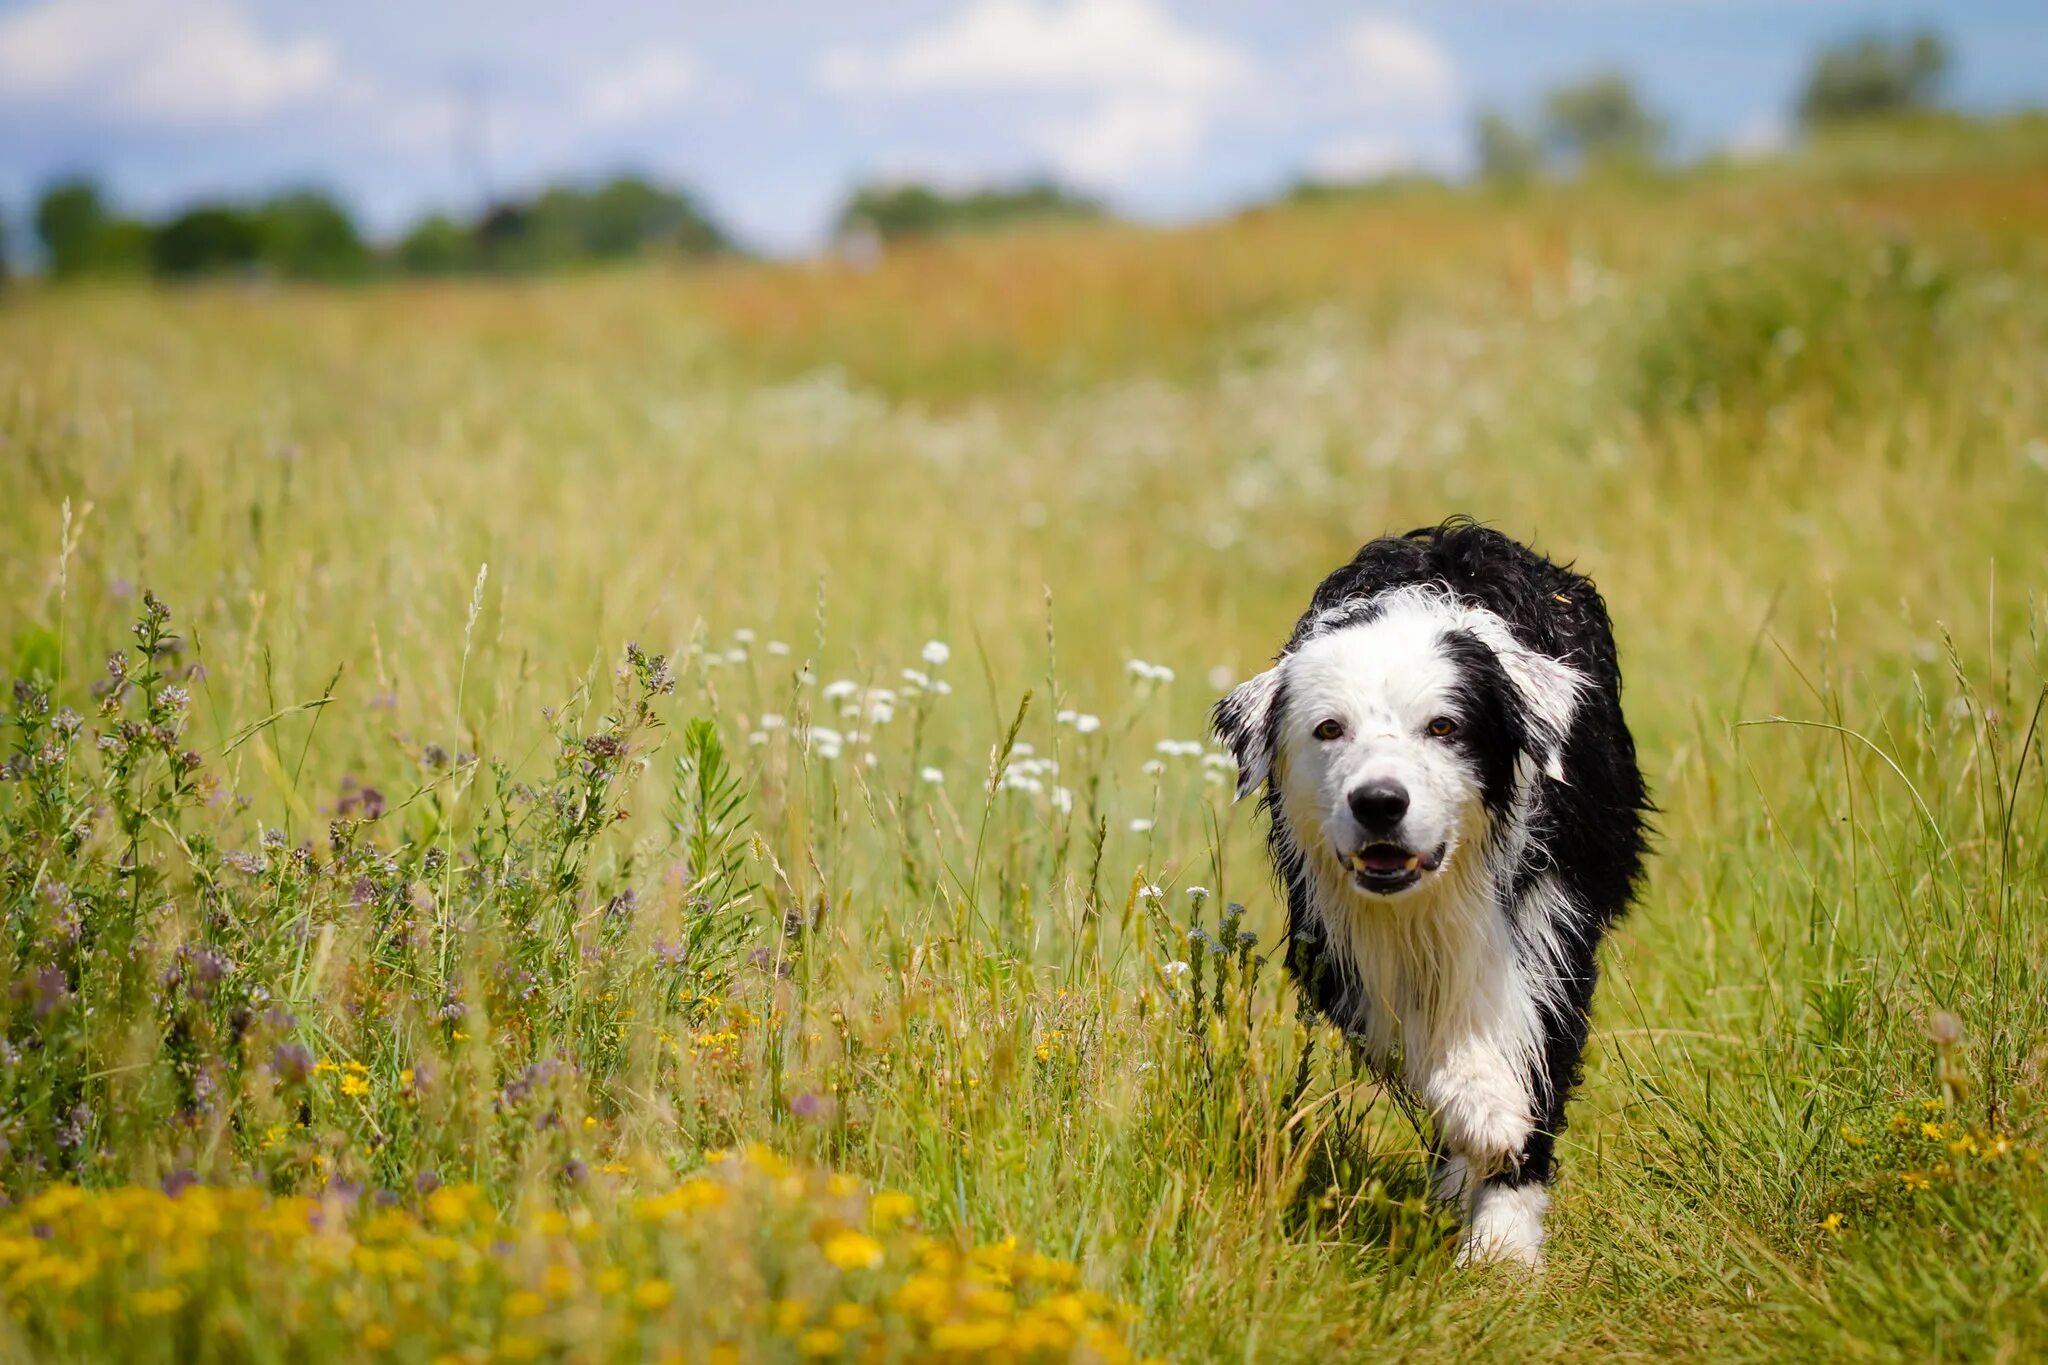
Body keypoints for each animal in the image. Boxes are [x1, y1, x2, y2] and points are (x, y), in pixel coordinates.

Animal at [1212, 517, 1646, 1268]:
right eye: (1330, 728)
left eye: (1444, 727)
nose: (1380, 803)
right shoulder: (1336, 941)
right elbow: (1423, 1035)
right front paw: (1485, 1113)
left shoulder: (1553, 922)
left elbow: (1536, 1053)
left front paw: (1503, 1241)